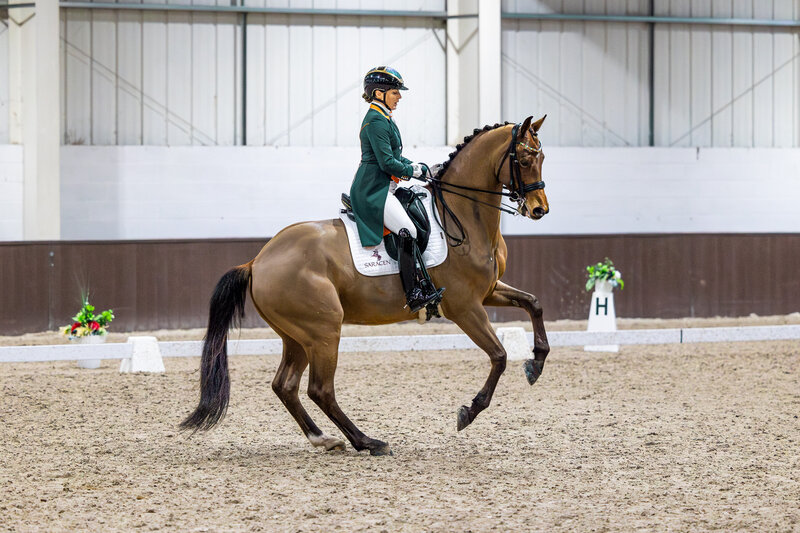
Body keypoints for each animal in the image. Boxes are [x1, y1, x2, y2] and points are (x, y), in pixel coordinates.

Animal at [181, 115, 551, 456]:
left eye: (542, 156)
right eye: (523, 159)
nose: (539, 210)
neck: (461, 214)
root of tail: (258, 261)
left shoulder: (487, 292)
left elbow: (534, 303)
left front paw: (536, 363)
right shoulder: (464, 306)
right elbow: (499, 355)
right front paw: (469, 411)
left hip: (297, 336)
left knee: (285, 385)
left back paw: (325, 439)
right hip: (324, 331)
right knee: (320, 390)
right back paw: (367, 441)